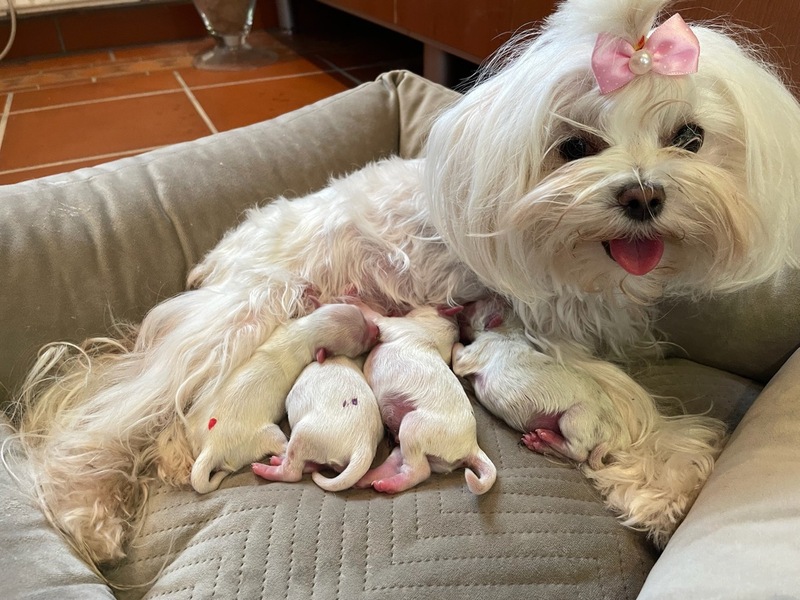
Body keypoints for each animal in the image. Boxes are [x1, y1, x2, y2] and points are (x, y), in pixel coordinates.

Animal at [354, 305, 496, 494]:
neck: (437, 335)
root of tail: (472, 447)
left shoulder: (392, 325)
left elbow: (376, 316)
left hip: (413, 427)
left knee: (420, 472)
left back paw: (387, 485)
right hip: (414, 446)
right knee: (399, 462)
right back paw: (368, 480)